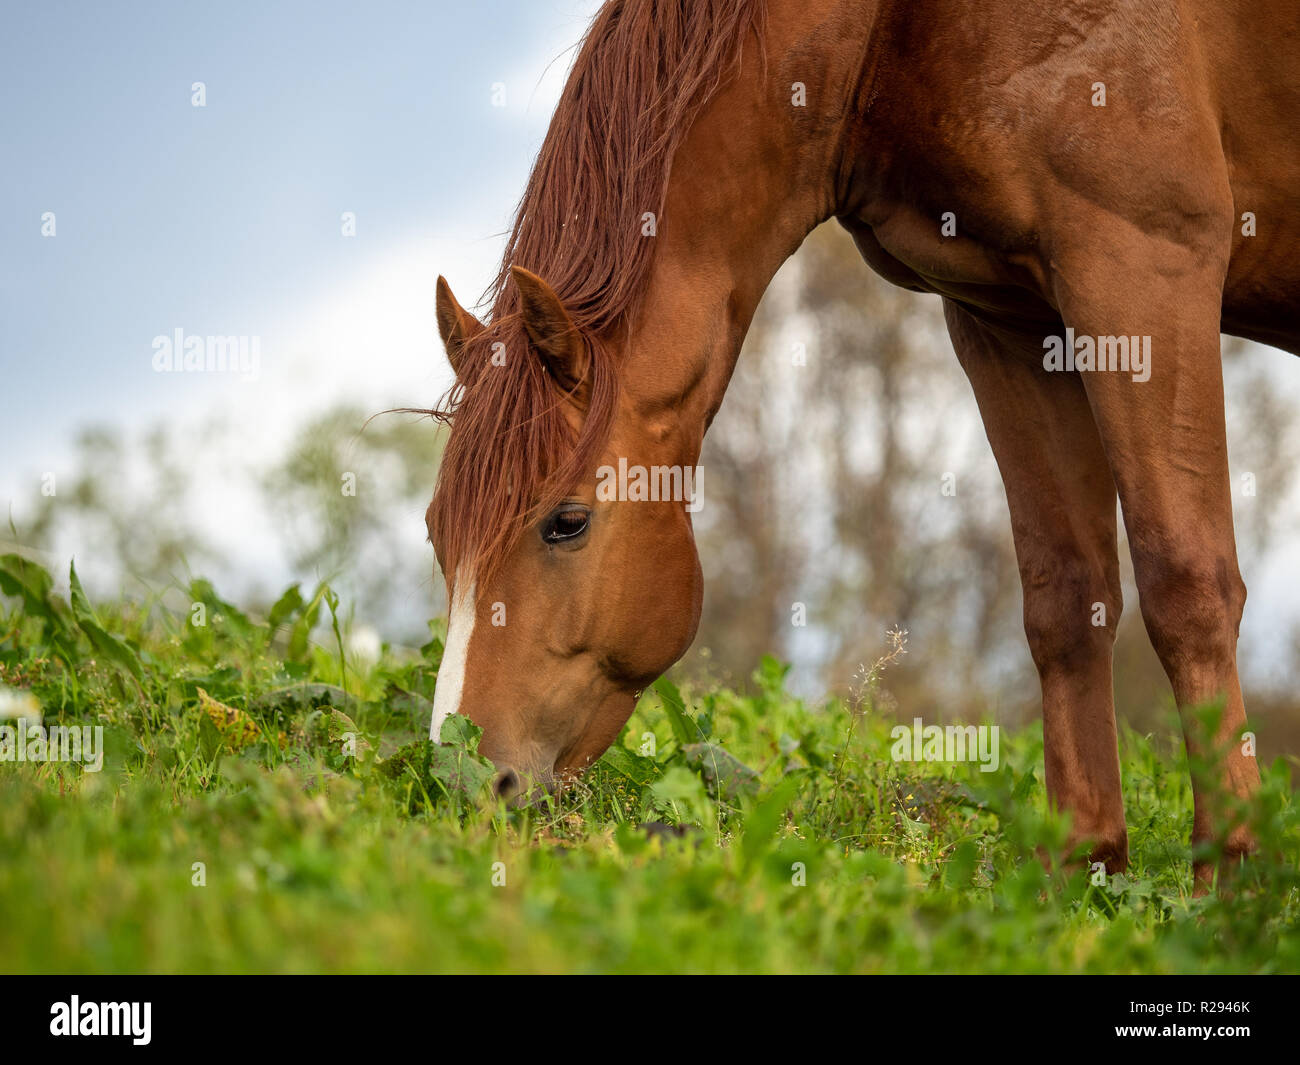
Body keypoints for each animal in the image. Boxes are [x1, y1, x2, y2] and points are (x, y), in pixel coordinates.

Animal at [423, 0, 1289, 884]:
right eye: (436, 533)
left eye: (566, 522)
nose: (466, 780)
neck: (887, 30)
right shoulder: (1007, 318)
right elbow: (1066, 599)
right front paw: (1083, 867)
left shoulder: (1142, 265)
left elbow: (1187, 581)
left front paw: (1232, 877)